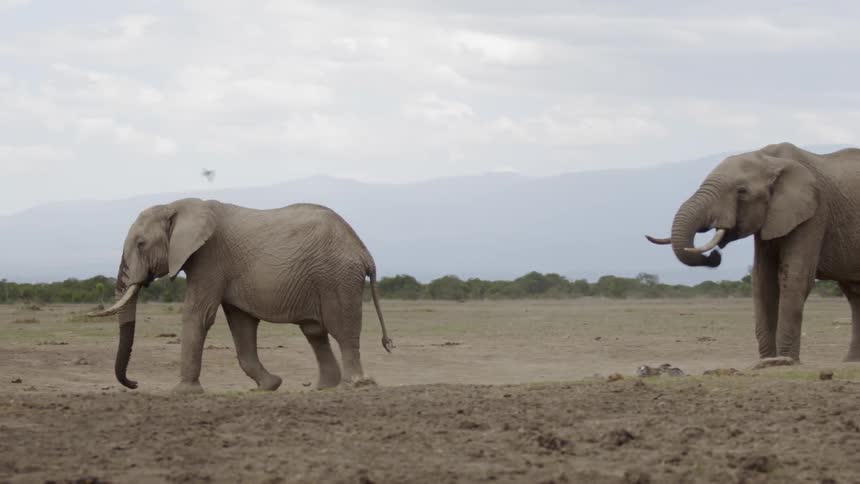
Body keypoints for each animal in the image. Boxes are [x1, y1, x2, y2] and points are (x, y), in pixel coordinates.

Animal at [90, 198, 394, 394]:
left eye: (141, 244)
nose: (135, 383)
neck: (178, 204)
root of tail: (363, 251)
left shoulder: (209, 258)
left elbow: (197, 316)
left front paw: (182, 392)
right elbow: (241, 325)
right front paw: (270, 386)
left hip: (338, 277)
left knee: (342, 328)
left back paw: (356, 386)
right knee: (315, 332)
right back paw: (323, 388)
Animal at [646, 142, 860, 363]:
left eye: (741, 192)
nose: (715, 256)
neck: (770, 159)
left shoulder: (815, 213)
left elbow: (794, 278)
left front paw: (786, 361)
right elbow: (762, 280)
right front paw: (767, 361)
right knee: (854, 294)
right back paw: (851, 361)